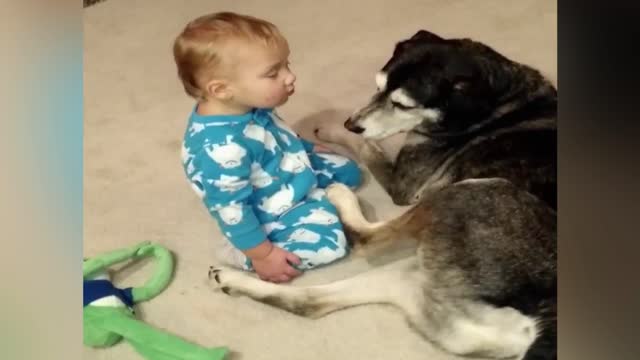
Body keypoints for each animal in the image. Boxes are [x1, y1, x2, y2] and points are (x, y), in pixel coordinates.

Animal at [209, 30, 556, 360]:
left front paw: (334, 129)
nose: (351, 122)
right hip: (408, 282)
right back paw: (230, 279)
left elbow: (369, 147)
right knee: (312, 303)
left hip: (473, 191)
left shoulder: (404, 184)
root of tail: (538, 325)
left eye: (403, 105)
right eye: (377, 86)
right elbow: (369, 142)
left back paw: (340, 196)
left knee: (367, 239)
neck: (500, 97)